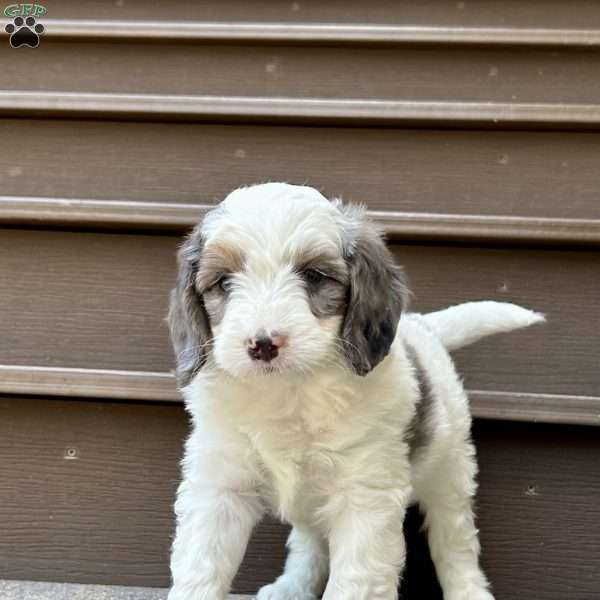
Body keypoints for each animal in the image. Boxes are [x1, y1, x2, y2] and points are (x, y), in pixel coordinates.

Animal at [165, 183, 544, 600]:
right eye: (223, 283)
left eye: (313, 275)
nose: (263, 344)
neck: (290, 391)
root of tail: (422, 326)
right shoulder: (219, 489)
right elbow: (200, 570)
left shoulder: (364, 497)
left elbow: (355, 581)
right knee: (309, 541)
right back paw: (291, 586)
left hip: (450, 469)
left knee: (455, 541)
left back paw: (468, 591)